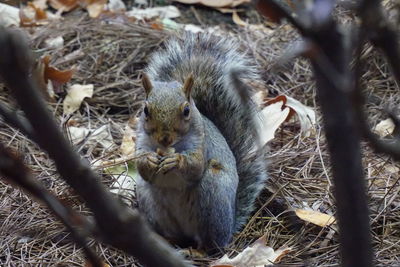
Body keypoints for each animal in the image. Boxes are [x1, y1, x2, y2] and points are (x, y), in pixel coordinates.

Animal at [134, 33, 268, 251]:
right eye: (145, 110)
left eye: (186, 111)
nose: (164, 138)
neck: (169, 147)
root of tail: (231, 224)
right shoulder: (142, 142)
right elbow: (142, 168)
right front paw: (149, 160)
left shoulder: (201, 144)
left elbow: (195, 167)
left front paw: (176, 161)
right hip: (149, 201)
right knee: (174, 234)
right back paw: (168, 241)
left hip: (212, 195)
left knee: (210, 243)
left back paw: (200, 250)